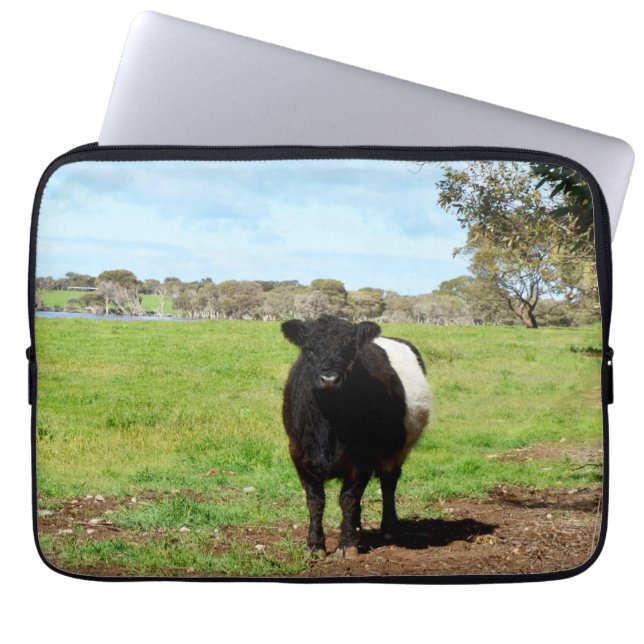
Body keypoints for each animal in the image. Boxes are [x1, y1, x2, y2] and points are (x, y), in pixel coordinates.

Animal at [281, 314, 431, 559]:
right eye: (309, 349)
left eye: (349, 350)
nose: (329, 379)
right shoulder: (299, 454)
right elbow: (315, 500)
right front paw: (315, 546)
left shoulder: (362, 458)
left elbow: (348, 499)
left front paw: (347, 545)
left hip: (398, 448)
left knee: (389, 483)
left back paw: (389, 527)